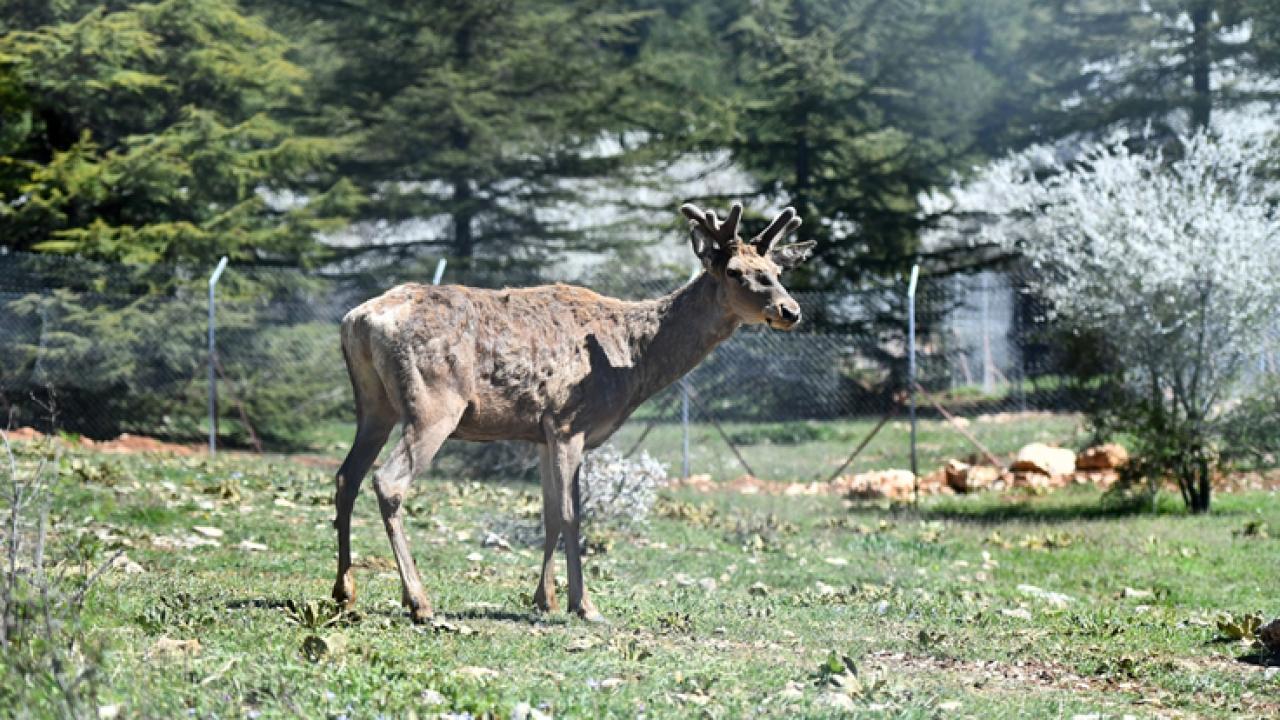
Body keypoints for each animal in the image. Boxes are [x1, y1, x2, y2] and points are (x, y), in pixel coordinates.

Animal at [330, 202, 808, 622]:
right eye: (735, 272)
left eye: (777, 273)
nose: (790, 311)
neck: (634, 362)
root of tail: (359, 320)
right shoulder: (568, 422)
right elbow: (571, 514)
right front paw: (584, 605)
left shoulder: (541, 432)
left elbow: (548, 513)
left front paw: (546, 599)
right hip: (433, 404)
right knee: (388, 481)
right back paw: (419, 602)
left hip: (374, 406)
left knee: (346, 476)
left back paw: (344, 590)